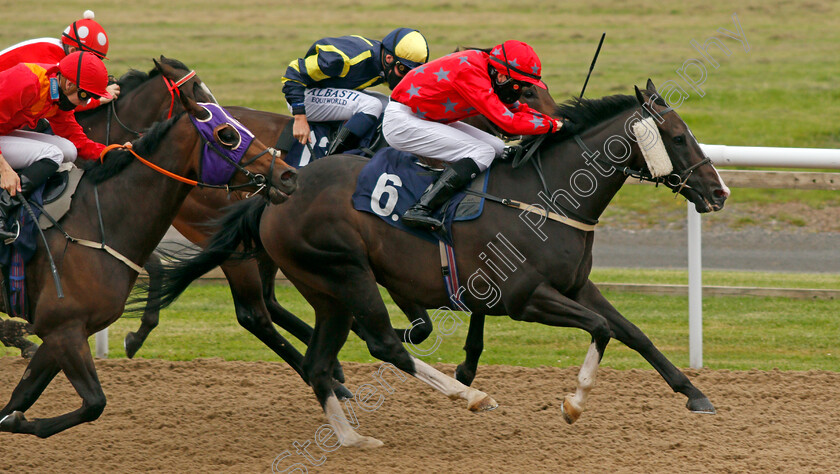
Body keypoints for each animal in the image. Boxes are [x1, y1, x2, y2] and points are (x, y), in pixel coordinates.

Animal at [0, 66, 298, 436]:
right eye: (227, 134)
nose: (287, 175)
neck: (96, 218)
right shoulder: (63, 329)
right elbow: (94, 402)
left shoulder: (63, 332)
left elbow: (23, 398)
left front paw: (15, 416)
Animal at [143, 79, 728, 446]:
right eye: (679, 137)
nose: (718, 191)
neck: (545, 196)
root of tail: (277, 190)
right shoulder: (526, 298)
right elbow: (602, 329)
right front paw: (574, 401)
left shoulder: (575, 286)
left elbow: (633, 333)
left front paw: (695, 394)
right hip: (346, 272)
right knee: (378, 341)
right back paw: (469, 395)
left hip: (326, 289)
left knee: (317, 361)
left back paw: (353, 437)